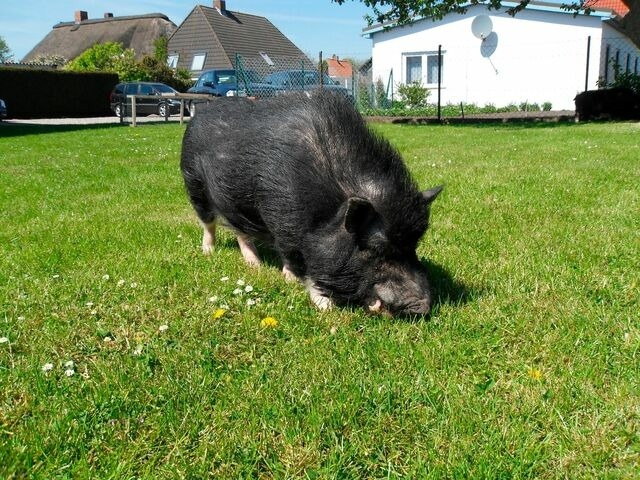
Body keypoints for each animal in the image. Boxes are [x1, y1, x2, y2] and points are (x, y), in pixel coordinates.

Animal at [179, 91, 440, 316]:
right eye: (375, 249)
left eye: (413, 245)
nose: (422, 307)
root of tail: (200, 113)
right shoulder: (284, 222)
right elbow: (299, 262)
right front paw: (323, 305)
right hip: (193, 182)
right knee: (208, 222)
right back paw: (209, 252)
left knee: (241, 231)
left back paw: (255, 266)